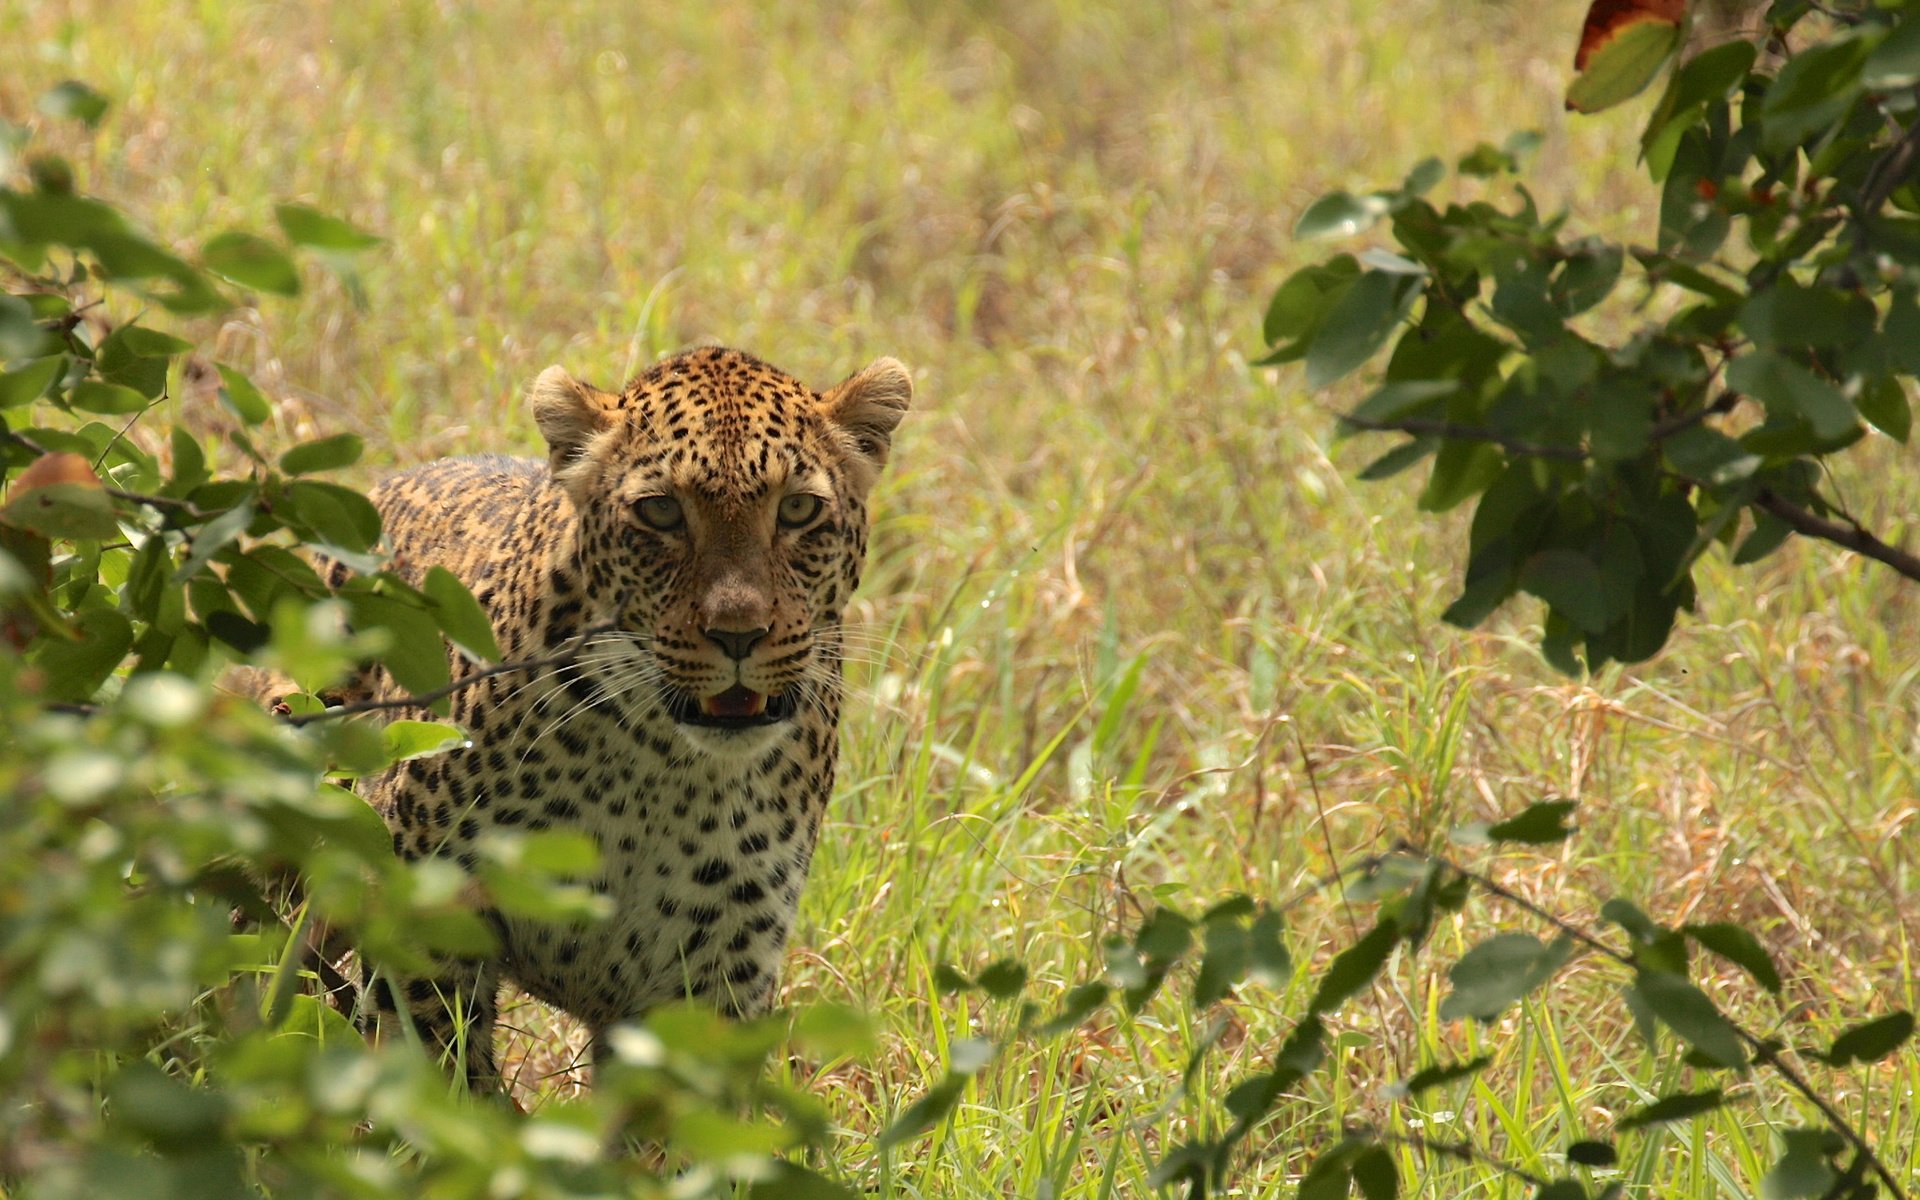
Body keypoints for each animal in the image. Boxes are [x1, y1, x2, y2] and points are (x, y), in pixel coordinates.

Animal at [334, 343, 910, 1082]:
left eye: (800, 510)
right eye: (661, 513)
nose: (739, 634)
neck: (660, 773)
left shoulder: (715, 977)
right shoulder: (428, 922)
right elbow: (439, 1075)